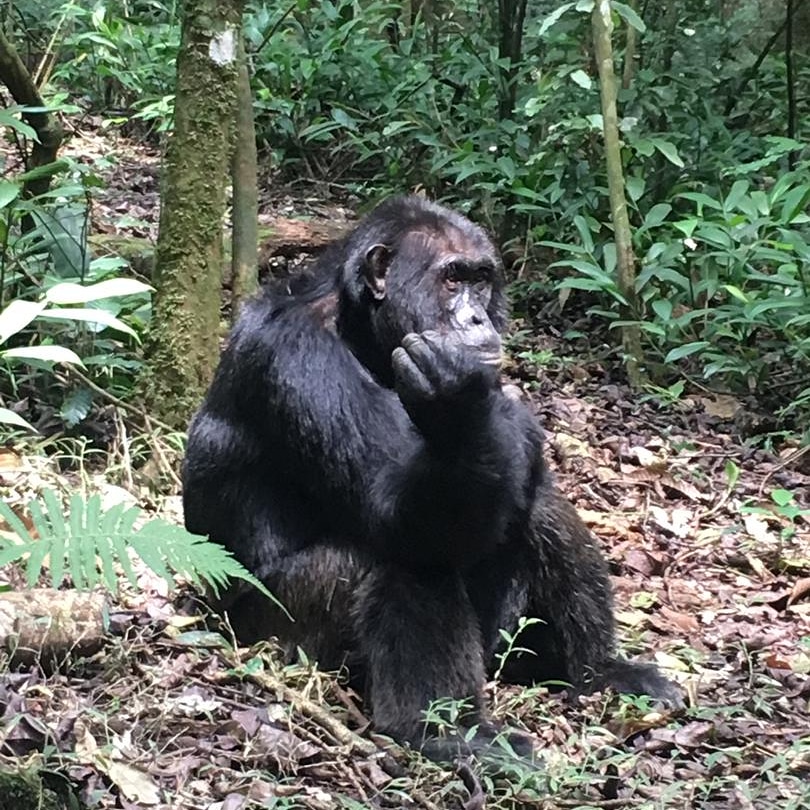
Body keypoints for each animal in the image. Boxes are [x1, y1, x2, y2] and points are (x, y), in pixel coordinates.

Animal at [180, 194, 680, 756]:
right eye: (451, 278)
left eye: (481, 279)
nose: (477, 315)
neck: (363, 332)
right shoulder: (301, 356)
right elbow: (393, 514)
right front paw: (461, 410)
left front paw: (484, 416)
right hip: (275, 636)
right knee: (399, 554)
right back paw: (449, 734)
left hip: (496, 639)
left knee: (534, 505)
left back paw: (599, 671)